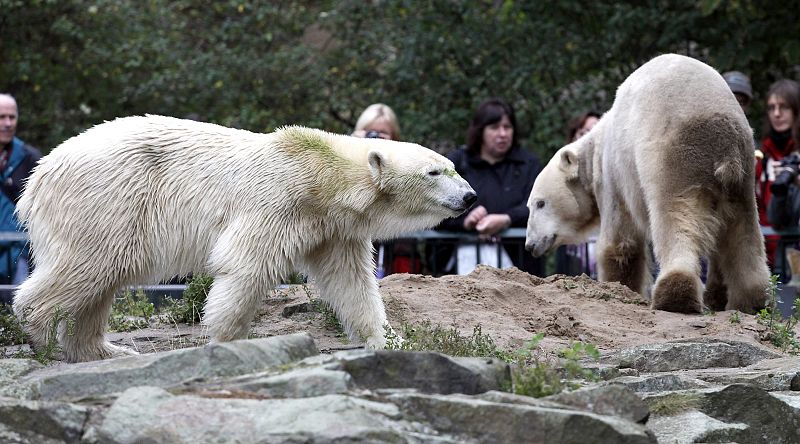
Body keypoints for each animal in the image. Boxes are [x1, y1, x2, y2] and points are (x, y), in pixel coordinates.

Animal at [13, 115, 477, 362]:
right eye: (434, 172)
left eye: (453, 167)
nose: (470, 196)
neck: (320, 174)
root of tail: (37, 176)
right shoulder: (278, 201)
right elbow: (246, 263)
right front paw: (226, 340)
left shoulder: (331, 228)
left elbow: (350, 283)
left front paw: (393, 341)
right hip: (107, 197)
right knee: (90, 265)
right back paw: (42, 334)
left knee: (103, 277)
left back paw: (103, 351)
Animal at [524, 53, 769, 314]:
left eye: (540, 203)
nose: (529, 245)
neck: (597, 147)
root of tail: (723, 142)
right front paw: (717, 296)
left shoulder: (615, 174)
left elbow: (621, 242)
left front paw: (620, 287)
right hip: (742, 176)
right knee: (743, 232)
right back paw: (752, 300)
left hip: (673, 160)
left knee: (673, 219)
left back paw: (674, 295)